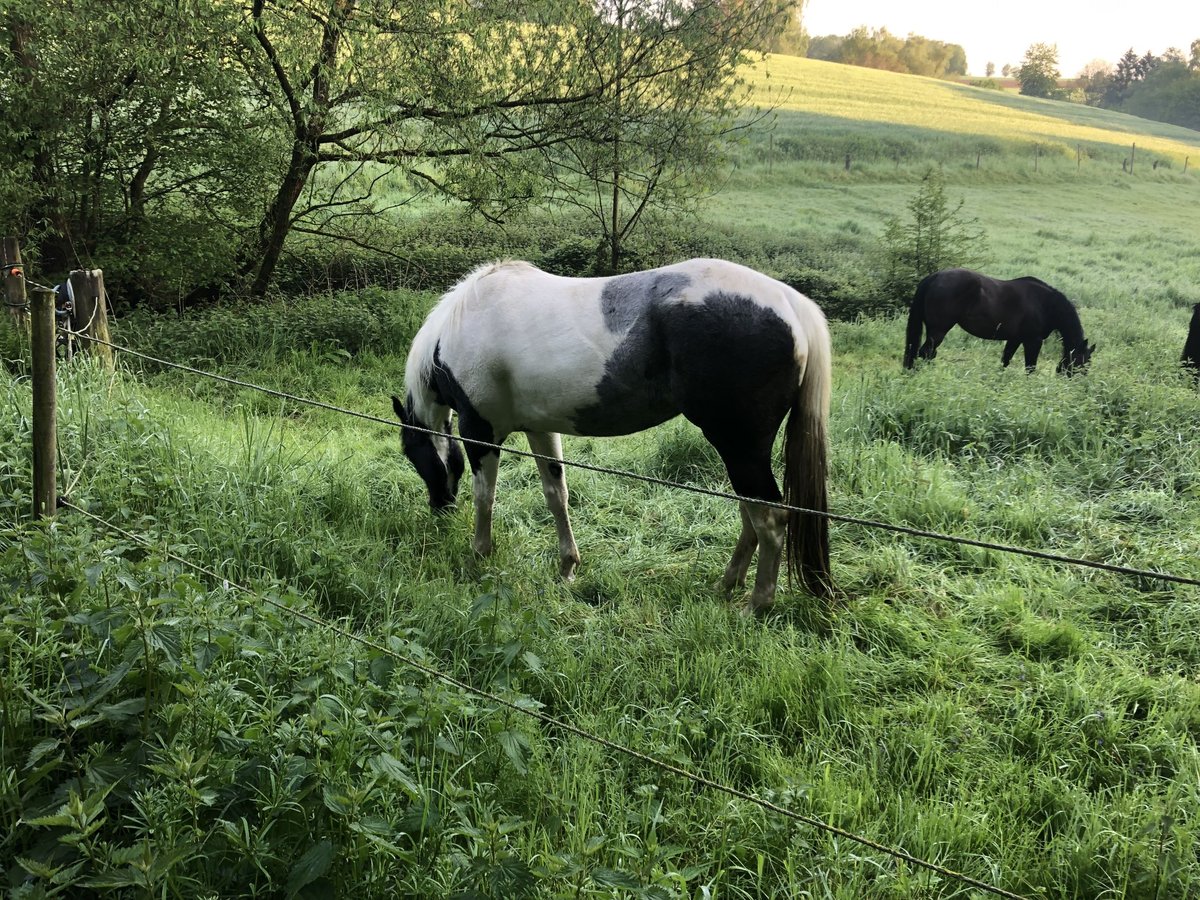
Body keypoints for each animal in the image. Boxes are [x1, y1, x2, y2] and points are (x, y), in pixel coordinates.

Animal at [398, 256, 830, 619]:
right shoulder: (540, 428)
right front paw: (567, 567)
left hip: (739, 446)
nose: (440, 509)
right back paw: (728, 583)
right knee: (750, 513)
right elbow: (556, 495)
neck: (461, 324)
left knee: (770, 518)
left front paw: (479, 556)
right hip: (740, 450)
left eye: (413, 456)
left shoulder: (480, 431)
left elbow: (485, 497)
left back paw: (756, 606)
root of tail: (789, 302)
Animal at [902, 267, 1094, 374]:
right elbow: (1030, 367)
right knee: (926, 353)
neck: (1045, 304)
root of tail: (933, 277)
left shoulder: (1015, 339)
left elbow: (1005, 361)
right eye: (1082, 364)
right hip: (938, 330)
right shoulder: (1033, 341)